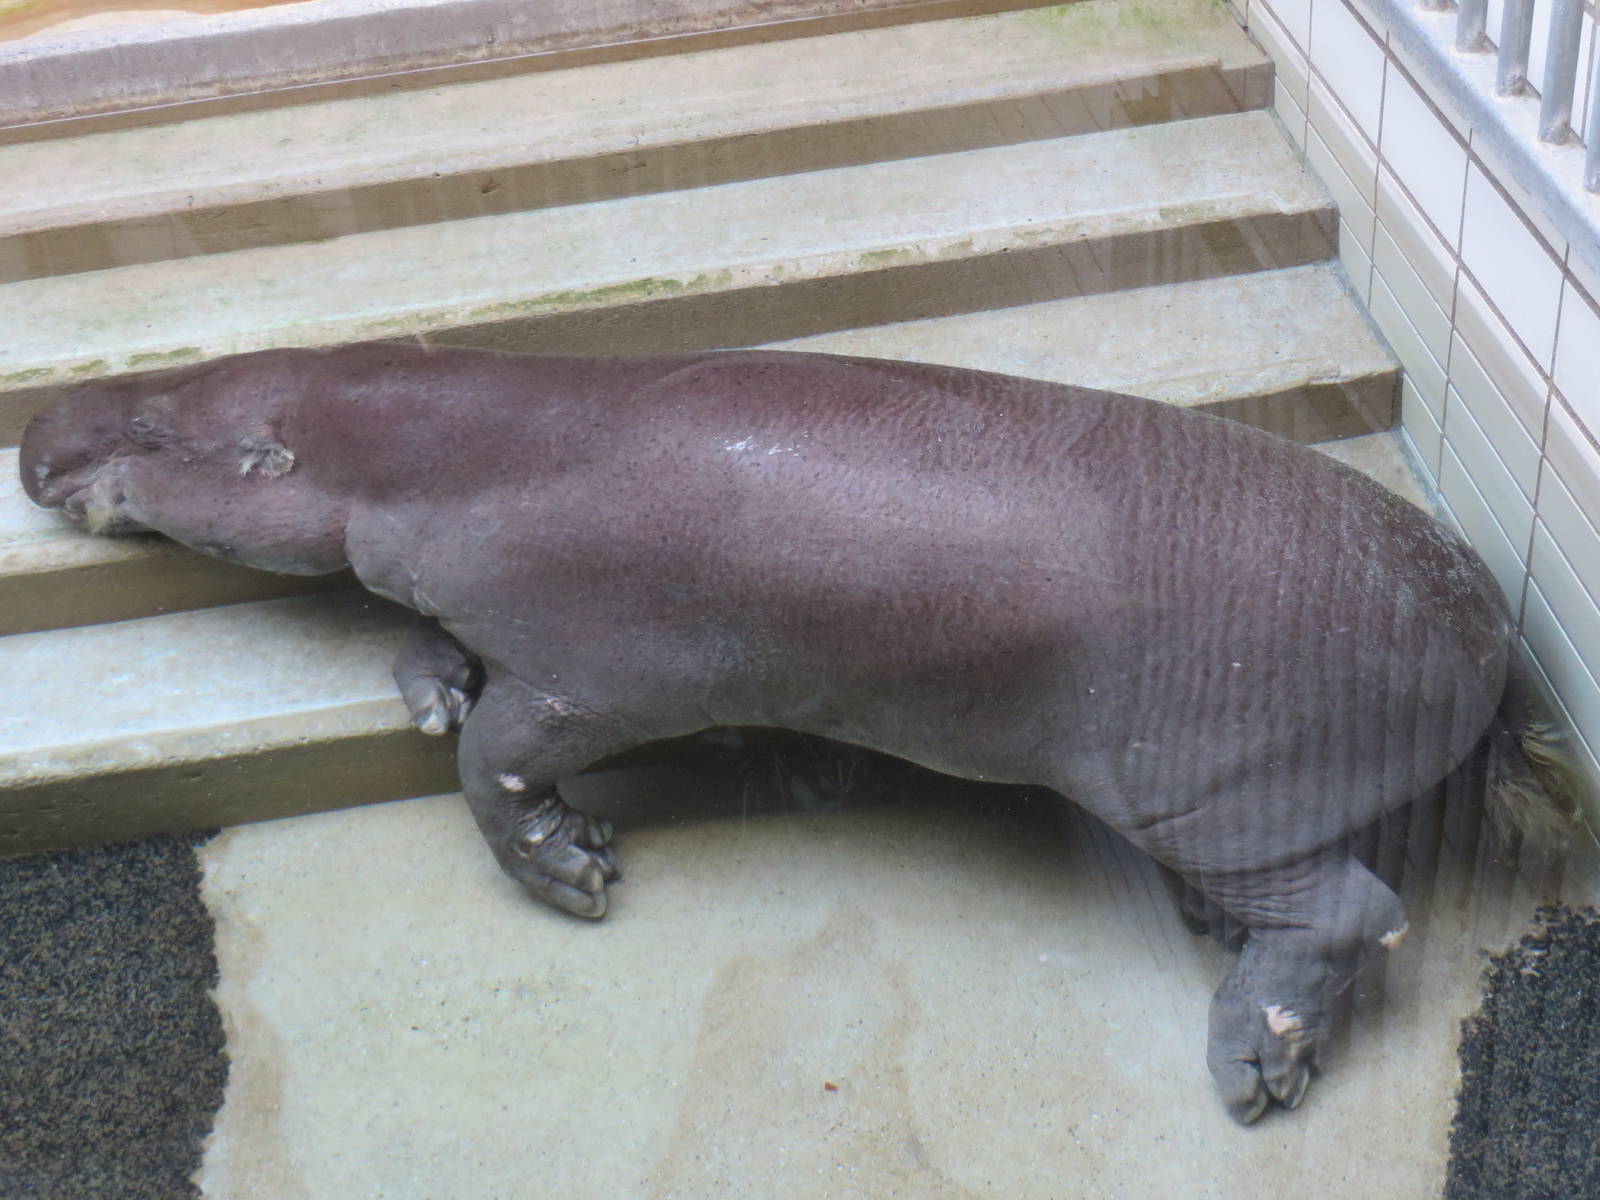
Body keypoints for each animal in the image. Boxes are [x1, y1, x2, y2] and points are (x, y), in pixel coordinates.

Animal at [19, 342, 1581, 1122]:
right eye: (174, 371)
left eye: (156, 424)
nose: (35, 421)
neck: (405, 439)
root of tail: (1491, 636)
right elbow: (436, 659)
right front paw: (422, 684)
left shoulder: (588, 673)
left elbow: (494, 765)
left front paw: (574, 872)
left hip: (1206, 793)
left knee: (1353, 910)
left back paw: (1252, 1068)